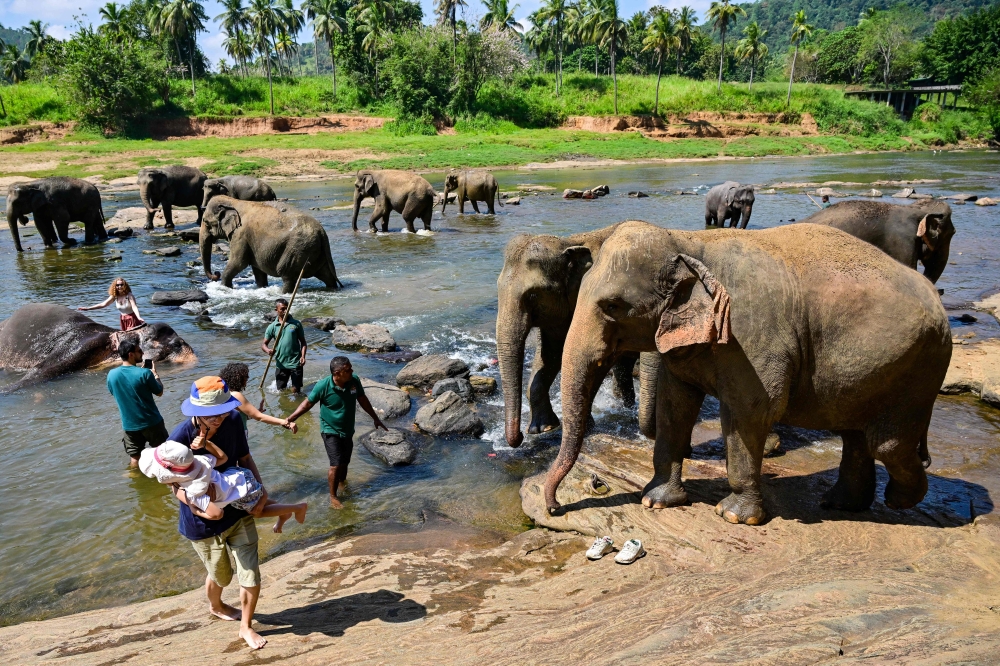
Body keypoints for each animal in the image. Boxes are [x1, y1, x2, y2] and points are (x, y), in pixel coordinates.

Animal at [200, 196, 344, 292]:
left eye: (206, 222)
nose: (216, 274)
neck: (234, 201)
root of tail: (322, 232)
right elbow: (257, 269)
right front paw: (261, 287)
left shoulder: (240, 235)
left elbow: (238, 262)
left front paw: (226, 287)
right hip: (315, 251)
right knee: (327, 275)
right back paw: (331, 289)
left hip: (297, 249)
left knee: (287, 275)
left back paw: (282, 293)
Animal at [500, 222, 656, 446]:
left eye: (533, 294)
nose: (520, 437)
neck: (568, 242)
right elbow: (550, 354)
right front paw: (543, 429)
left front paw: (586, 428)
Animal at [548, 222, 952, 524]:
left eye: (613, 306)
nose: (554, 508)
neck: (690, 240)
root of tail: (937, 298)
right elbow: (674, 405)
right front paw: (656, 500)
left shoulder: (751, 338)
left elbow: (752, 409)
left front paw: (733, 516)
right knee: (857, 435)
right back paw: (841, 504)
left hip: (919, 367)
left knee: (887, 443)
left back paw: (900, 500)